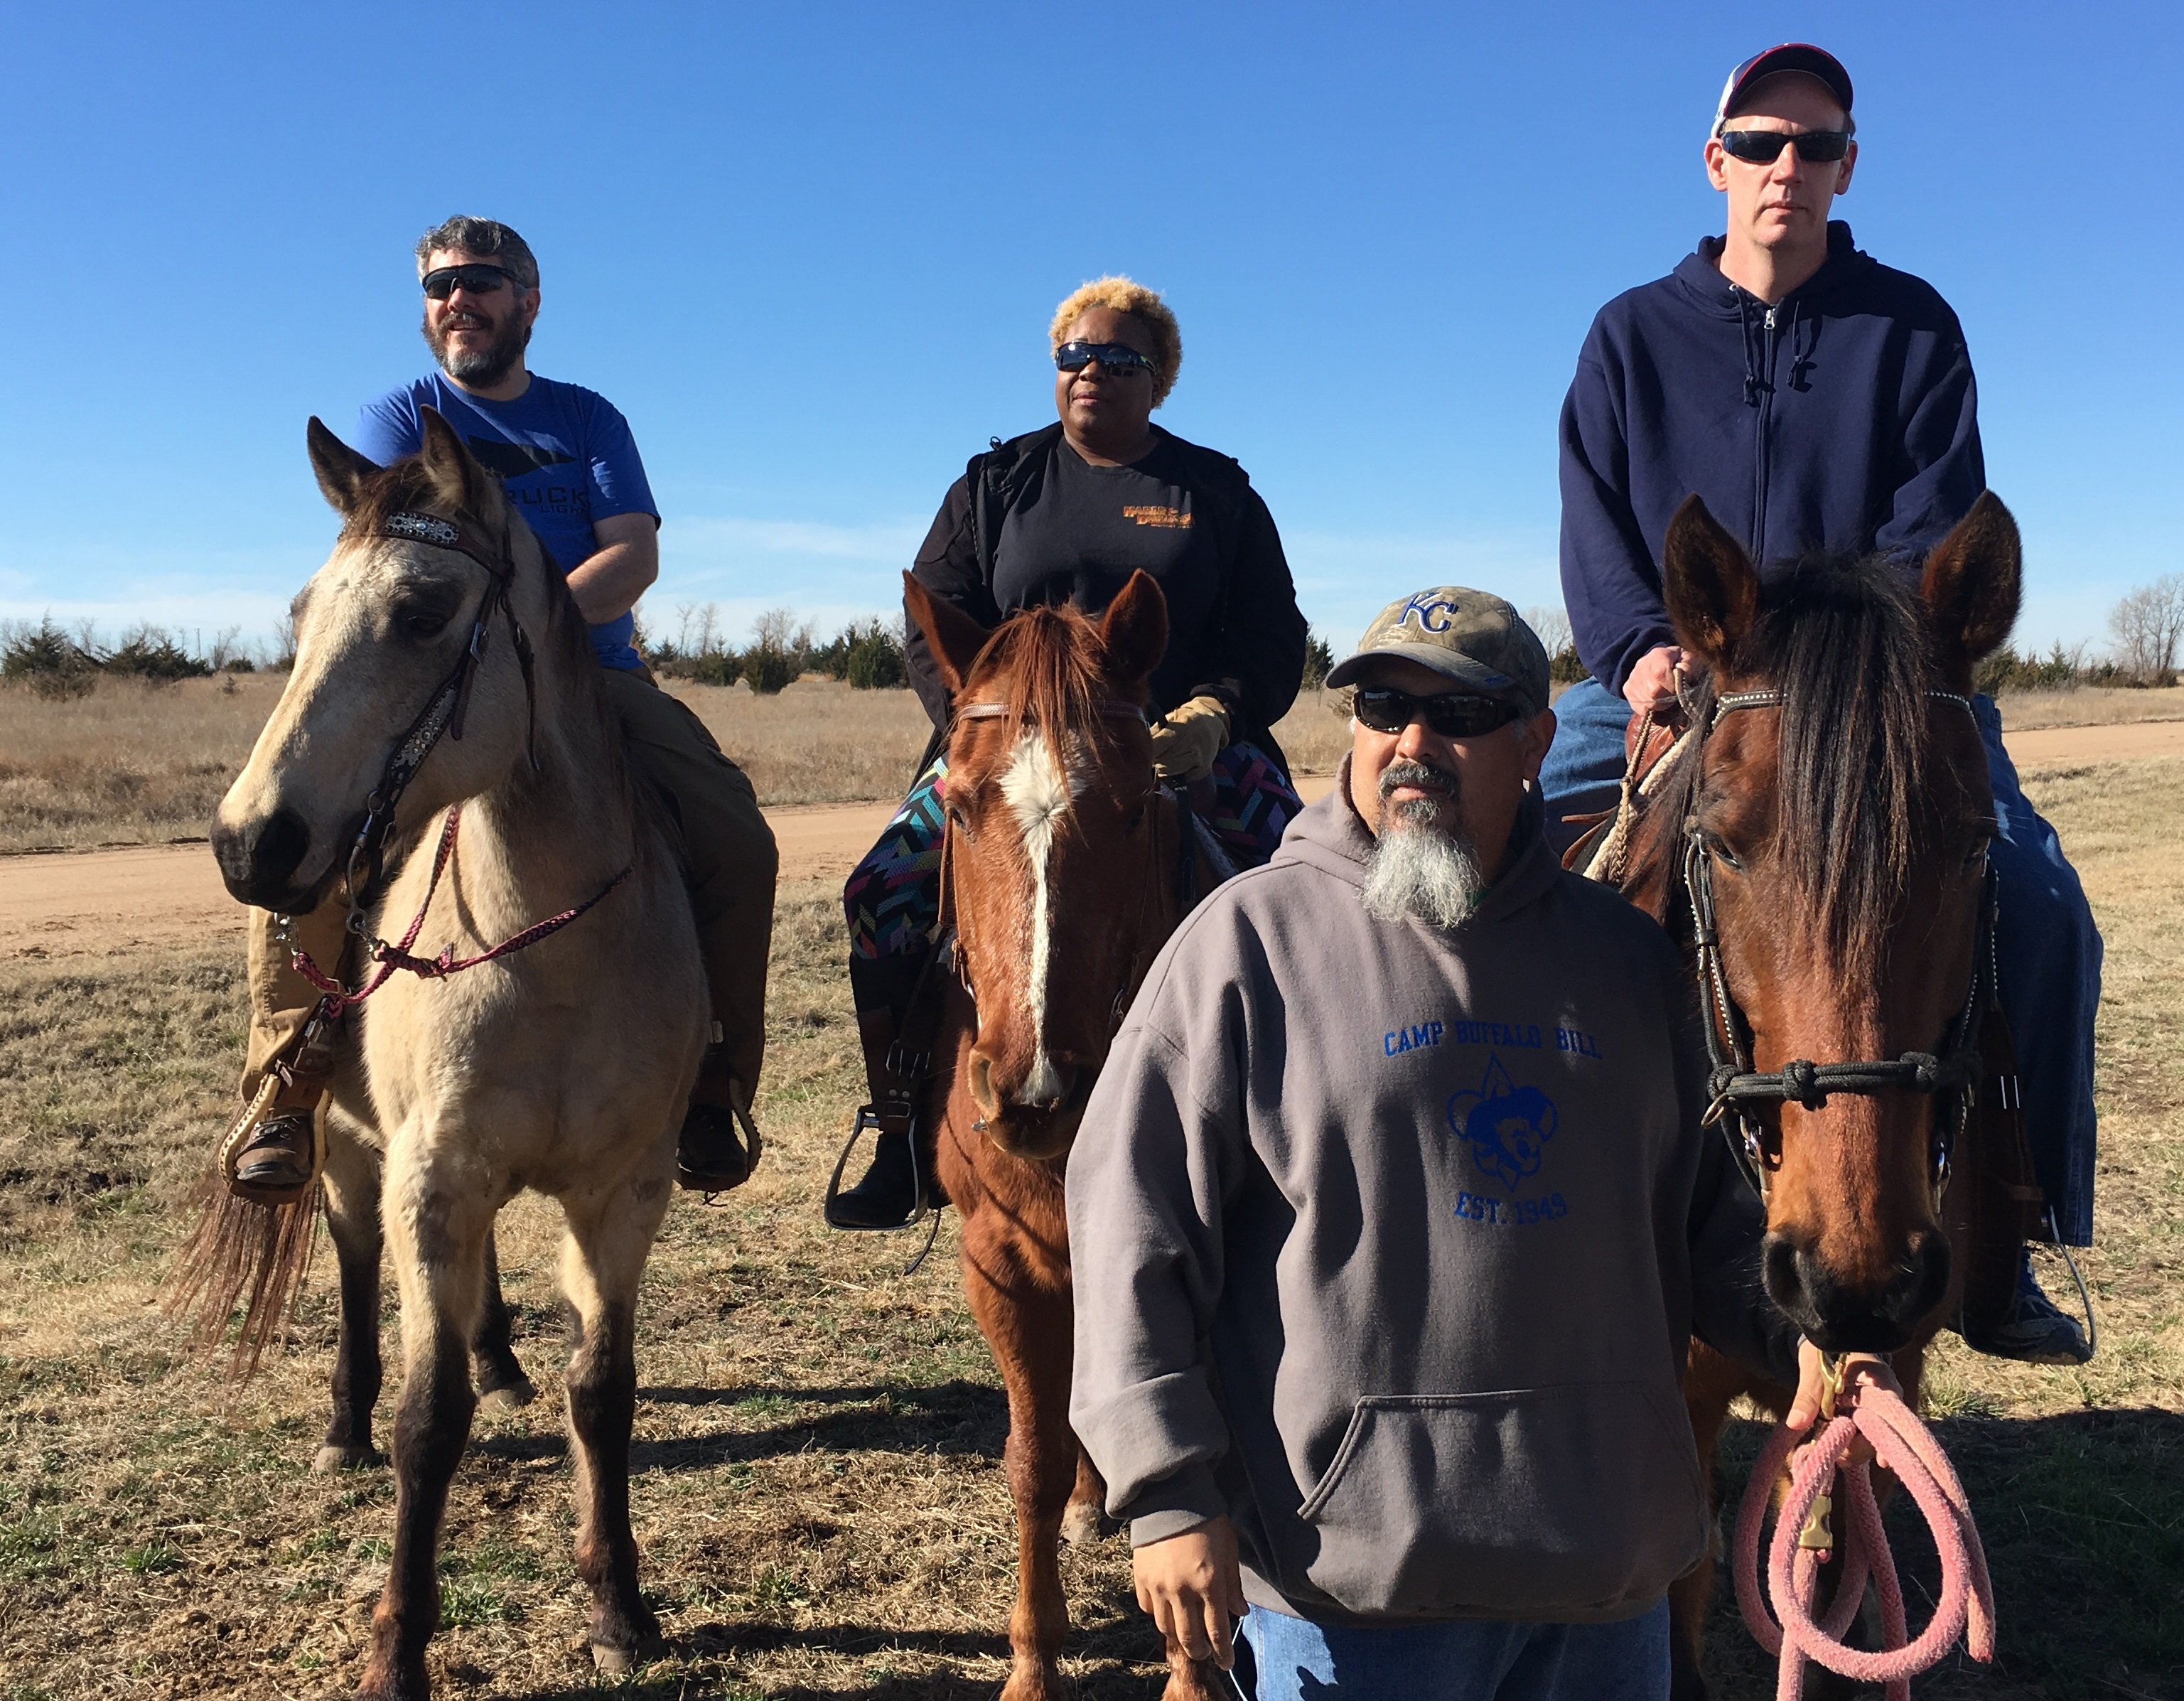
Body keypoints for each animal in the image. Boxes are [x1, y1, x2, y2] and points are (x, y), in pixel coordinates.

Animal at [198, 414, 707, 1701]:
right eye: (299, 612)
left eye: (423, 611)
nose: (247, 844)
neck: (547, 947)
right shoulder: (430, 1181)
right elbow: (427, 1424)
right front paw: (397, 1647)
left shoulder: (622, 1193)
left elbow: (603, 1394)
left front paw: (618, 1605)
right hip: (346, 1156)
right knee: (355, 1281)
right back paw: (342, 1424)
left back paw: (504, 1366)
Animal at [891, 576, 1232, 1701]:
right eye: (957, 805)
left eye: (1131, 809)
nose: (1036, 1090)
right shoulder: (1000, 1263)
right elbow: (1032, 1460)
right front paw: (1034, 1662)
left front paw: (1191, 1678)